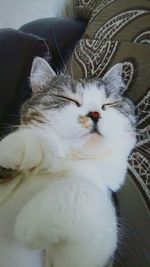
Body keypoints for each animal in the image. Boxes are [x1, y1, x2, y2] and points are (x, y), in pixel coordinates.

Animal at [0, 57, 137, 267]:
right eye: (68, 99)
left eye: (108, 104)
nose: (95, 114)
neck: (68, 164)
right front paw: (29, 141)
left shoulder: (90, 253)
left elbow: (84, 189)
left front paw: (32, 222)